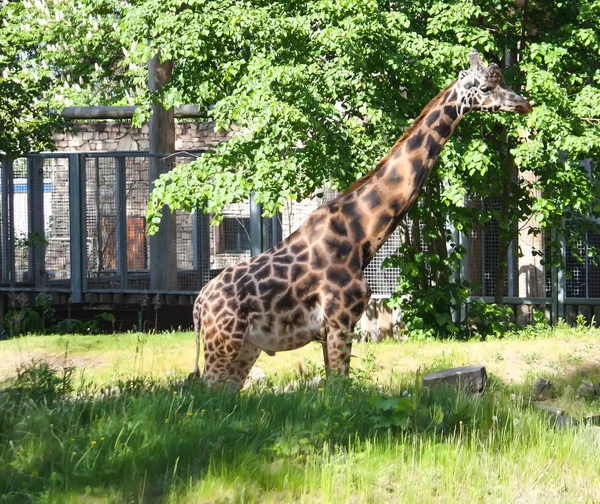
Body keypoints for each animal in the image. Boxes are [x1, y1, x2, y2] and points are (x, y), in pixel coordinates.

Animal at [191, 50, 528, 390]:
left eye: (503, 81)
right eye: (485, 87)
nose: (524, 103)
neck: (359, 234)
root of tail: (198, 305)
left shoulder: (332, 330)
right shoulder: (340, 322)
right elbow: (341, 391)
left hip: (247, 347)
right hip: (222, 343)